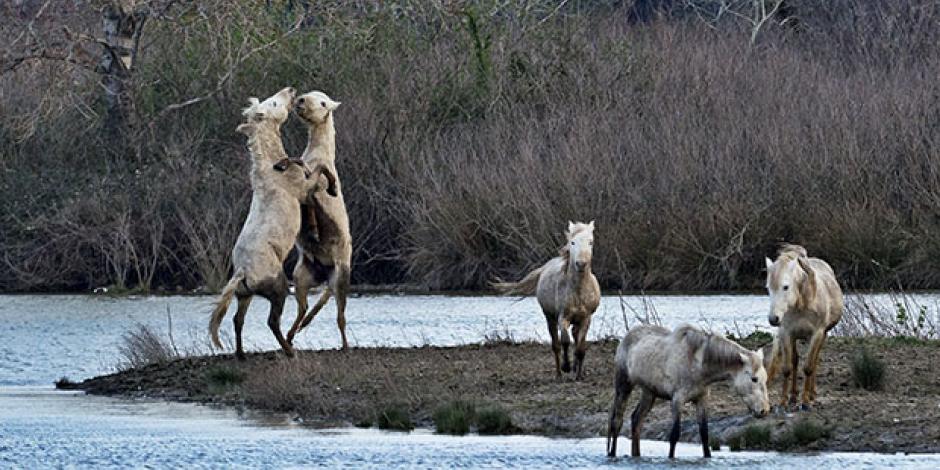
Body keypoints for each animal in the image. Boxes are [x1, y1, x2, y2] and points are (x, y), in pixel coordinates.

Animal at [211, 87, 336, 360]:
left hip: (244, 295)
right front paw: (332, 188)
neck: (272, 168)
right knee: (272, 321)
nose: (291, 90)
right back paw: (290, 350)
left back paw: (241, 354)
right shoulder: (303, 189)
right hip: (279, 288)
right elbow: (321, 169)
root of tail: (242, 271)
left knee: (237, 320)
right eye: (274, 103)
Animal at [496, 222, 600, 380]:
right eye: (572, 242)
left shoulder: (586, 318)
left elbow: (581, 347)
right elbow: (565, 341)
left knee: (575, 336)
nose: (581, 264)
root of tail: (545, 267)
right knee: (556, 344)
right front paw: (566, 367)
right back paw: (559, 374)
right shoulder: (563, 317)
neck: (578, 291)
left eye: (590, 242)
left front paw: (578, 375)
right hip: (549, 317)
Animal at [604, 324, 768, 458]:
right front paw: (671, 458)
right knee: (617, 421)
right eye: (754, 379)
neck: (698, 364)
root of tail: (626, 338)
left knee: (636, 420)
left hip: (649, 392)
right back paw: (612, 454)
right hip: (623, 386)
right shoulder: (677, 400)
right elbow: (675, 435)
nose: (764, 410)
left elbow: (704, 434)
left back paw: (636, 455)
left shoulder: (702, 399)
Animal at [764, 246, 844, 412]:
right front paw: (783, 402)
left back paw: (812, 395)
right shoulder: (786, 333)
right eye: (768, 288)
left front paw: (806, 402)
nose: (773, 319)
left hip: (822, 335)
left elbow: (808, 367)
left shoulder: (816, 334)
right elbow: (787, 368)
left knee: (815, 361)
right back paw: (793, 397)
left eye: (786, 287)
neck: (801, 304)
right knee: (795, 361)